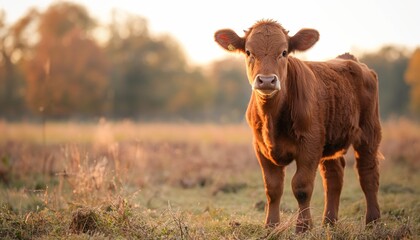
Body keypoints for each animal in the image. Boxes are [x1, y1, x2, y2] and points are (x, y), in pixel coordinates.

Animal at [215, 20, 382, 232]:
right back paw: (329, 222)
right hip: (330, 138)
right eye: (248, 52)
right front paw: (271, 225)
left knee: (368, 174)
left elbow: (301, 186)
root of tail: (349, 59)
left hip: (369, 132)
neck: (272, 118)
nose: (267, 80)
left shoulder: (310, 143)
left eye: (284, 52)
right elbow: (273, 188)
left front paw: (303, 227)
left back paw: (373, 222)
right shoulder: (260, 147)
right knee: (334, 176)